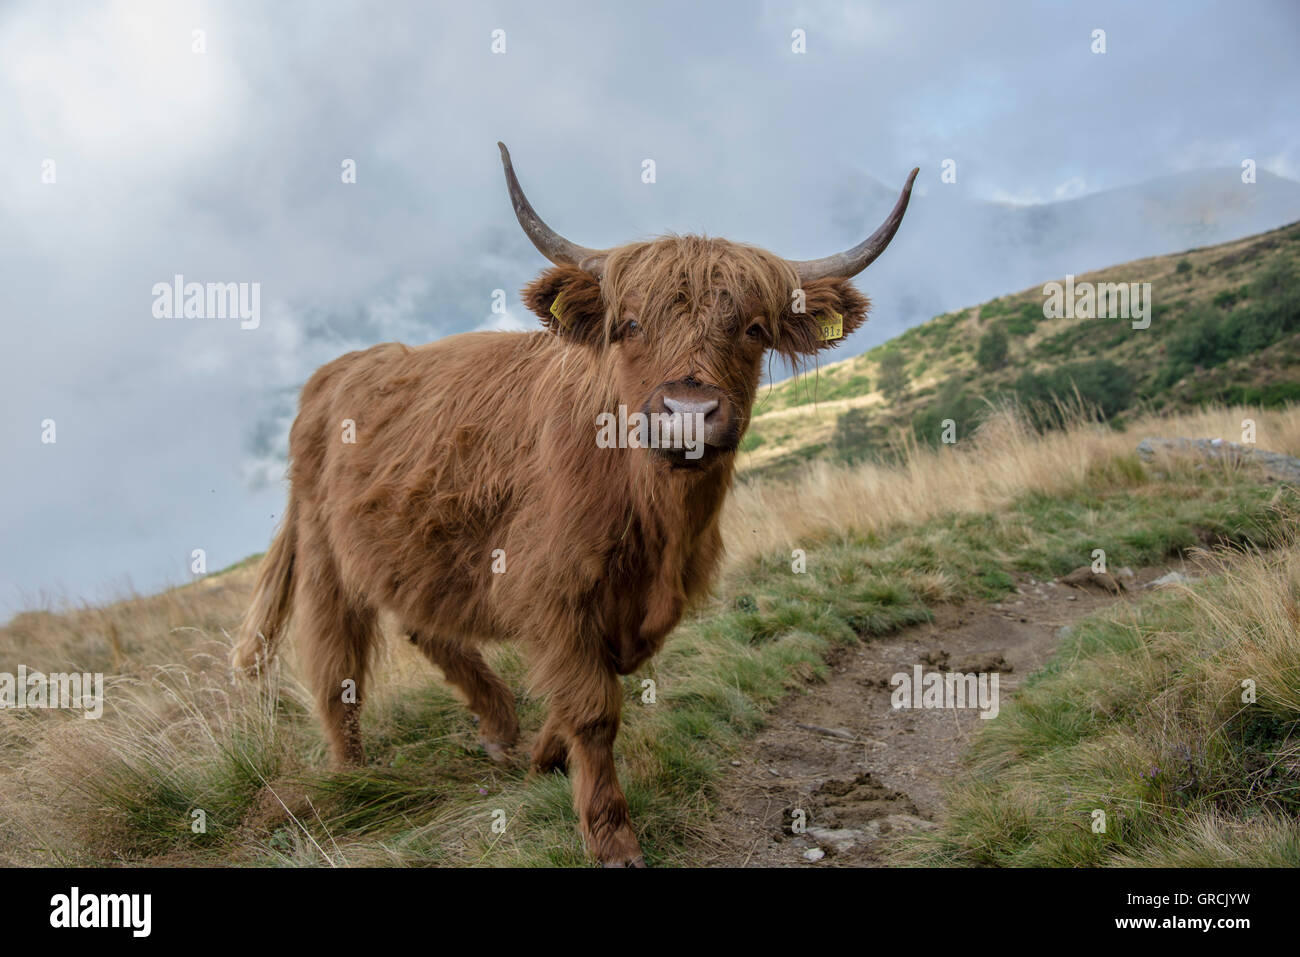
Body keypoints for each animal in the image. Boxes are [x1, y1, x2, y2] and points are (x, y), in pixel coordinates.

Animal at [233, 143, 916, 866]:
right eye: (631, 325)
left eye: (754, 329)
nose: (688, 413)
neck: (658, 525)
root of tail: (336, 371)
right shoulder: (549, 585)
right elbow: (594, 706)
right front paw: (611, 836)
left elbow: (603, 676)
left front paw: (545, 752)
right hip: (324, 553)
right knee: (336, 661)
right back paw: (351, 772)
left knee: (426, 625)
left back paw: (499, 726)